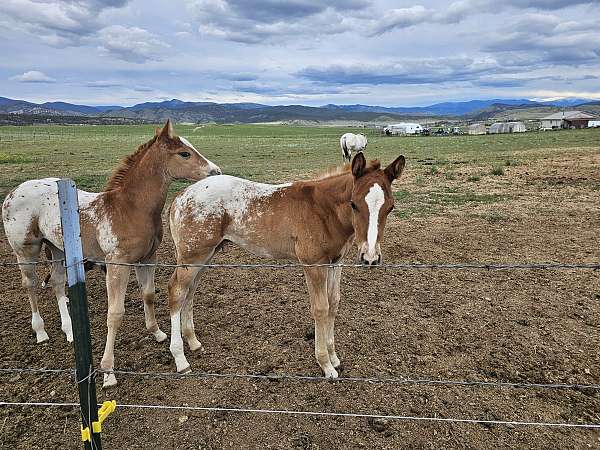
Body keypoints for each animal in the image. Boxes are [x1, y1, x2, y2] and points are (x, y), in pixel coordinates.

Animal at [166, 153, 406, 378]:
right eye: (354, 204)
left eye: (390, 207)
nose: (370, 257)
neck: (323, 209)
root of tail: (180, 196)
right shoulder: (314, 264)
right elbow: (320, 308)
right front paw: (326, 364)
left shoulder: (336, 262)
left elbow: (333, 303)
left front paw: (334, 356)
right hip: (192, 256)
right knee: (177, 291)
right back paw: (180, 359)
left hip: (206, 255)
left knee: (190, 291)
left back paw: (194, 343)